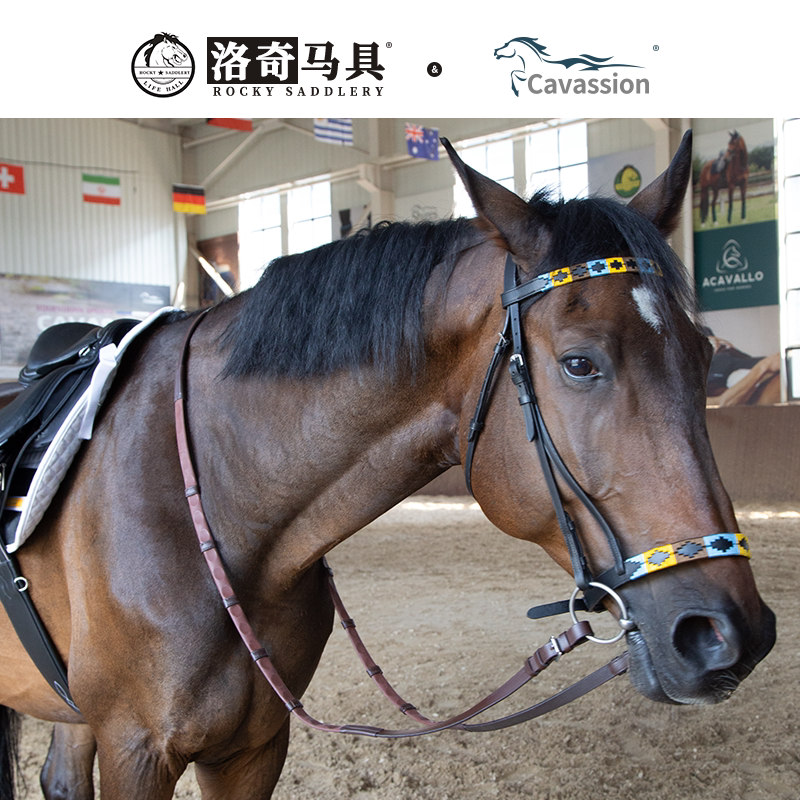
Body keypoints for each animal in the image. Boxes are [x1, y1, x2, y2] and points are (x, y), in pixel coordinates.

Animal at [0, 130, 775, 799]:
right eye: (580, 363)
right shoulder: (136, 747)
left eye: (703, 354)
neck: (219, 507)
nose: (729, 636)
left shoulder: (252, 747)